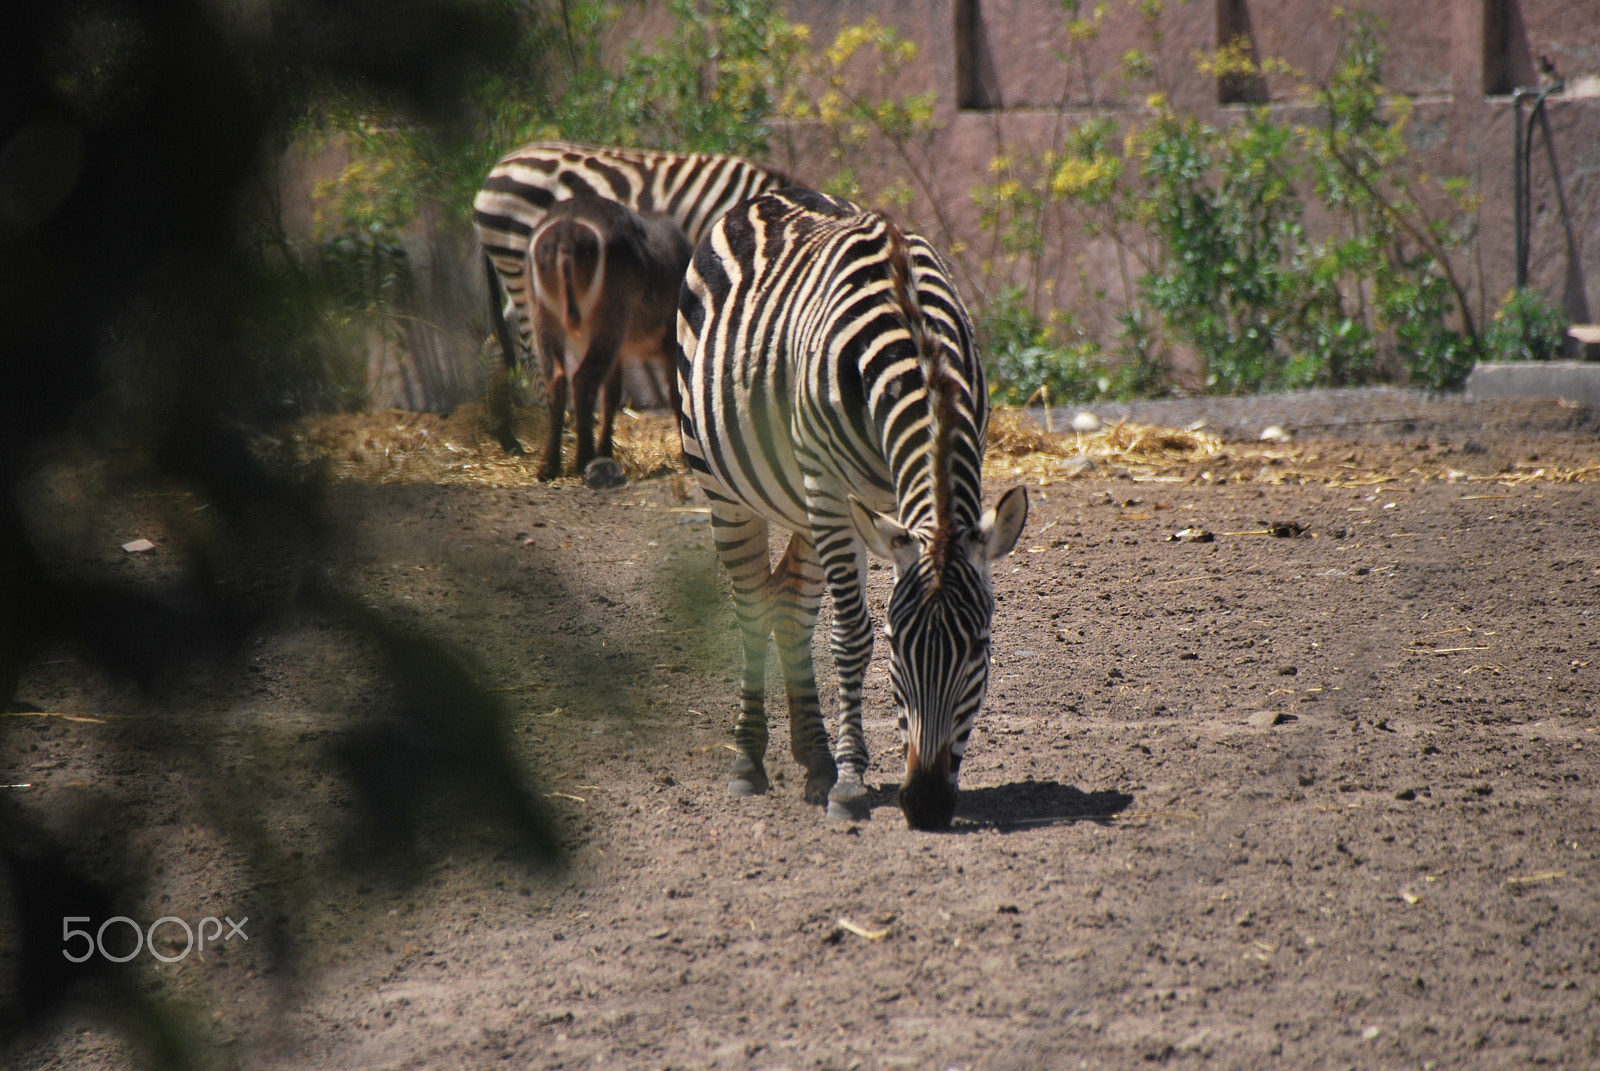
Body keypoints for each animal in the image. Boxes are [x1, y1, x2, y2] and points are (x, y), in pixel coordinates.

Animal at [472, 142, 793, 453]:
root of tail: (494, 173)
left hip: (523, 277)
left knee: (496, 343)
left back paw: (508, 436)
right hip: (521, 267)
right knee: (529, 352)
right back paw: (561, 431)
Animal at [677, 188, 1028, 830]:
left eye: (979, 647)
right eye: (896, 646)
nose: (927, 805)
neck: (917, 346)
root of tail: (767, 197)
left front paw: (838, 769)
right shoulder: (828, 485)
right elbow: (848, 635)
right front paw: (848, 783)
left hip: (811, 508)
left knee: (789, 605)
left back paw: (814, 758)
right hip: (727, 484)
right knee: (751, 605)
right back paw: (749, 760)